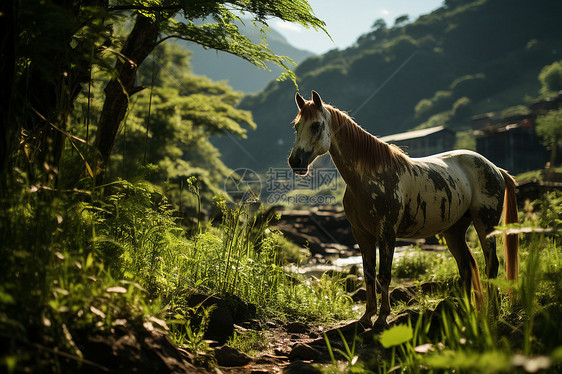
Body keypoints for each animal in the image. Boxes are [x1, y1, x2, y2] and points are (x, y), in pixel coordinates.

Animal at [286, 91, 520, 328]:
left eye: (316, 125)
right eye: (296, 126)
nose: (295, 161)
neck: (368, 176)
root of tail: (495, 168)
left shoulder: (387, 232)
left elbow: (384, 275)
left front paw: (382, 318)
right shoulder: (362, 234)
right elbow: (368, 273)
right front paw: (367, 316)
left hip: (485, 224)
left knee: (491, 264)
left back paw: (493, 313)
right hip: (453, 230)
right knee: (466, 266)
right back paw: (466, 313)